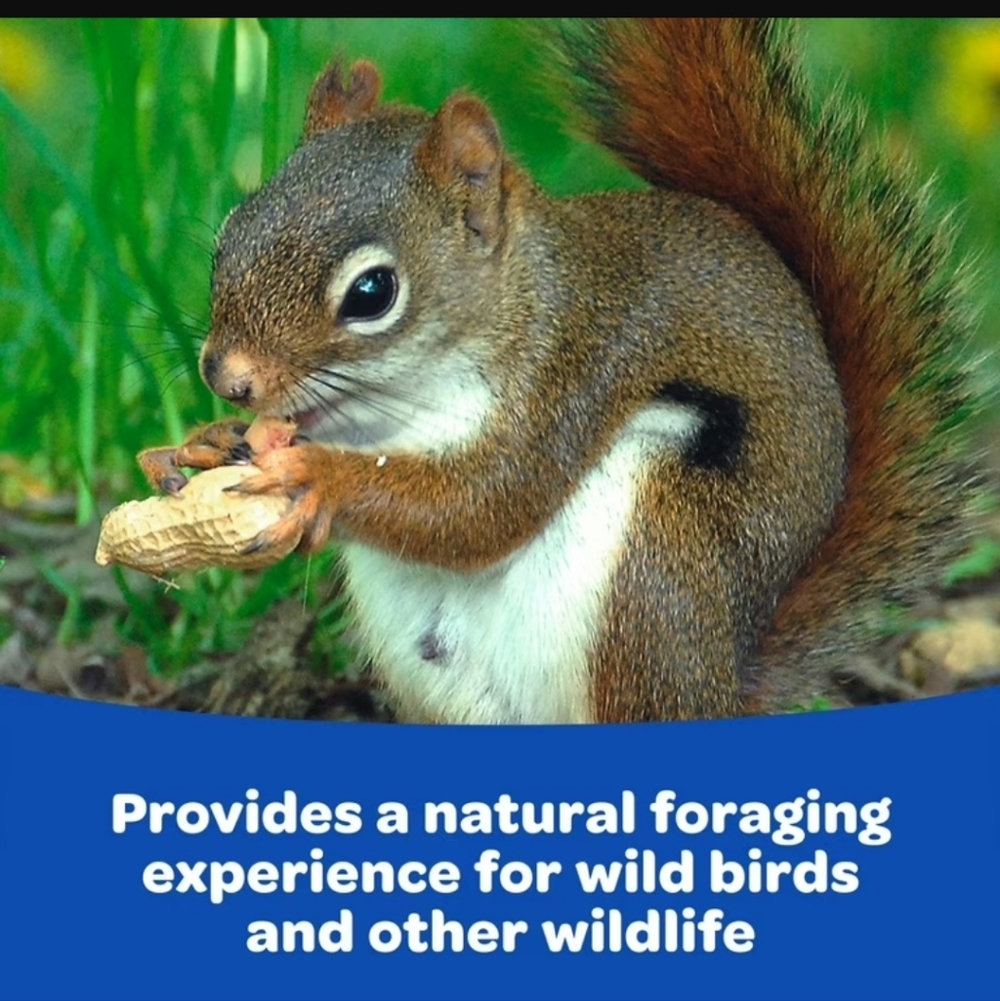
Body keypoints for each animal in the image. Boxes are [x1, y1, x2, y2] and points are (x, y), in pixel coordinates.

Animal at [139, 19, 972, 723]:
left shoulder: (578, 372)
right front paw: (208, 442)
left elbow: (486, 503)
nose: (227, 377)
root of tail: (725, 688)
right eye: (230, 232)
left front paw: (319, 478)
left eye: (373, 292)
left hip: (653, 580)